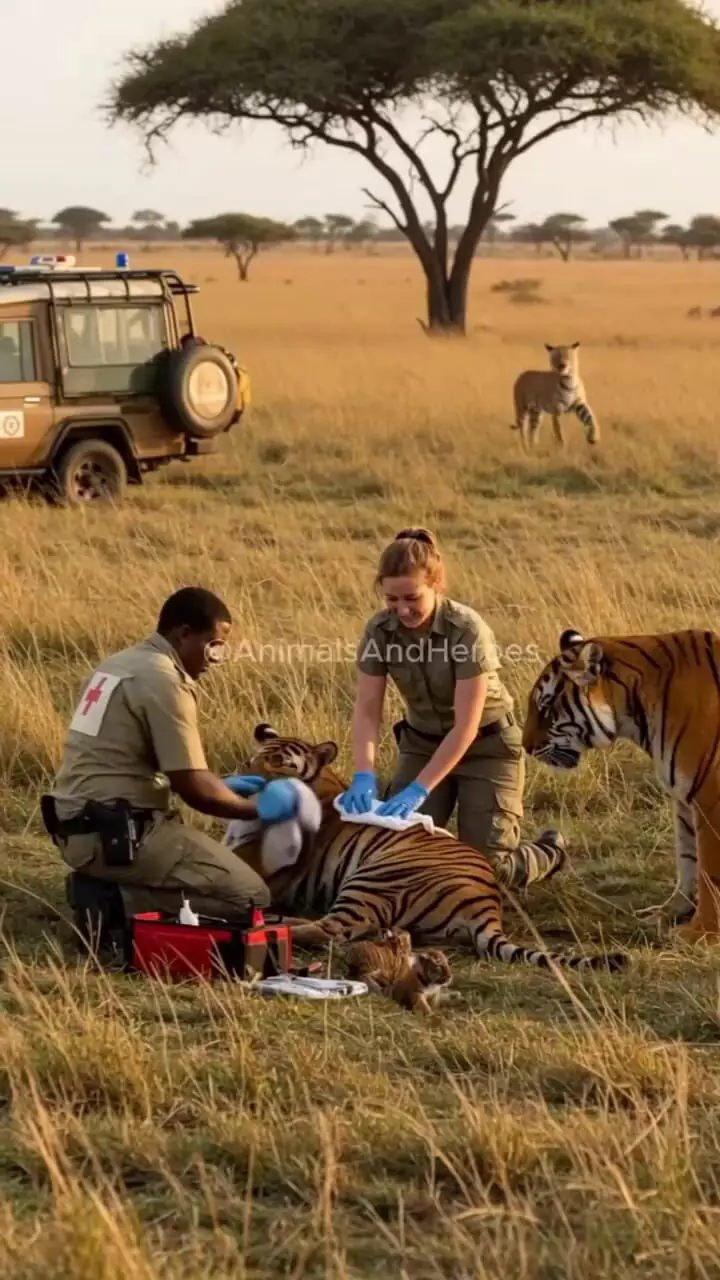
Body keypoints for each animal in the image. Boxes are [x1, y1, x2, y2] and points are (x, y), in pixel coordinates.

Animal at [221, 721, 625, 967]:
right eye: (253, 758)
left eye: (280, 763)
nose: (243, 777)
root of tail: (489, 903)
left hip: (374, 875)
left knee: (332, 929)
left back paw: (266, 928)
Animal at [517, 624, 717, 947]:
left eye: (545, 706)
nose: (525, 747)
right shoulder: (684, 797)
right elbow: (687, 859)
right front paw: (669, 912)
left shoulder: (710, 796)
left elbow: (708, 870)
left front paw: (701, 932)